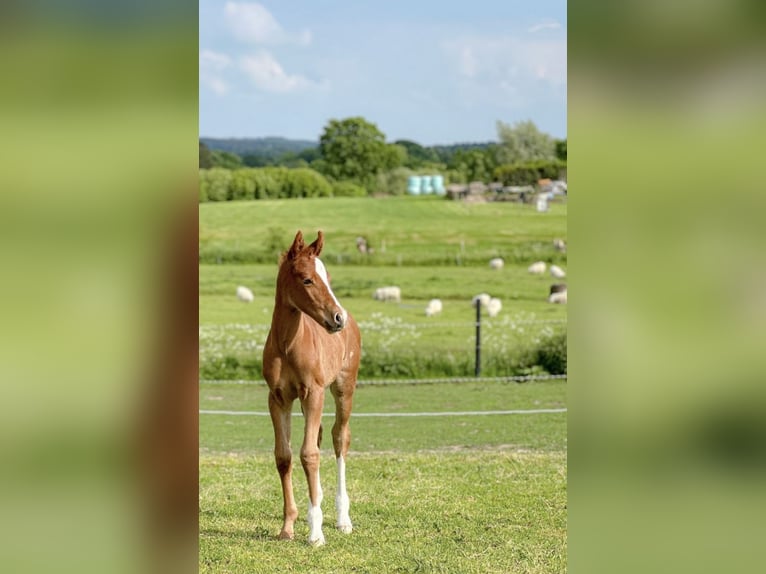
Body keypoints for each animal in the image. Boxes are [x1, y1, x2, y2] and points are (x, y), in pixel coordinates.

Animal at [262, 232, 362, 548]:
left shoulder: (314, 392)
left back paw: (343, 518)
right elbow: (284, 456)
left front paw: (316, 533)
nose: (338, 318)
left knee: (339, 437)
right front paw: (288, 527)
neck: (287, 344)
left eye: (327, 277)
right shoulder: (277, 398)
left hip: (344, 388)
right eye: (307, 280)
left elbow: (309, 455)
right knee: (317, 438)